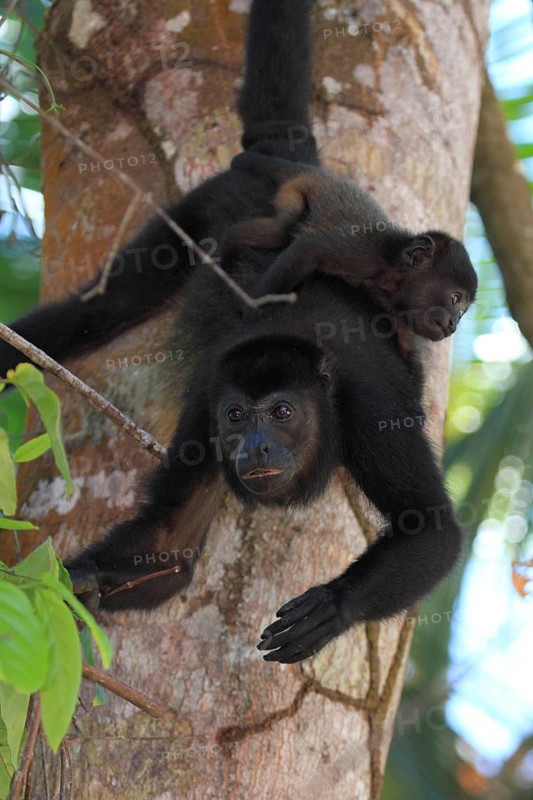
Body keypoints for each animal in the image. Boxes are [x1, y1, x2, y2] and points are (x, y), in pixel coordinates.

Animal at [0, 0, 467, 663]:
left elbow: (430, 526)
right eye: (237, 417)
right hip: (206, 205)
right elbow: (168, 543)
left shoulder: (370, 404)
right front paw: (73, 581)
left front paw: (335, 606)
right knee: (104, 308)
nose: (255, 450)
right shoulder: (204, 406)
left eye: (283, 413)